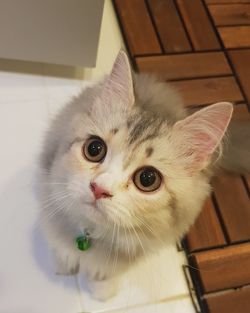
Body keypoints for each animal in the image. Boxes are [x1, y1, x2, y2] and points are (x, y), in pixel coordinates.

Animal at [38, 51, 249, 300]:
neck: (91, 234)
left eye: (147, 179)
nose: (99, 189)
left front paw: (102, 291)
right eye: (94, 149)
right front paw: (64, 264)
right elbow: (61, 247)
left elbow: (104, 275)